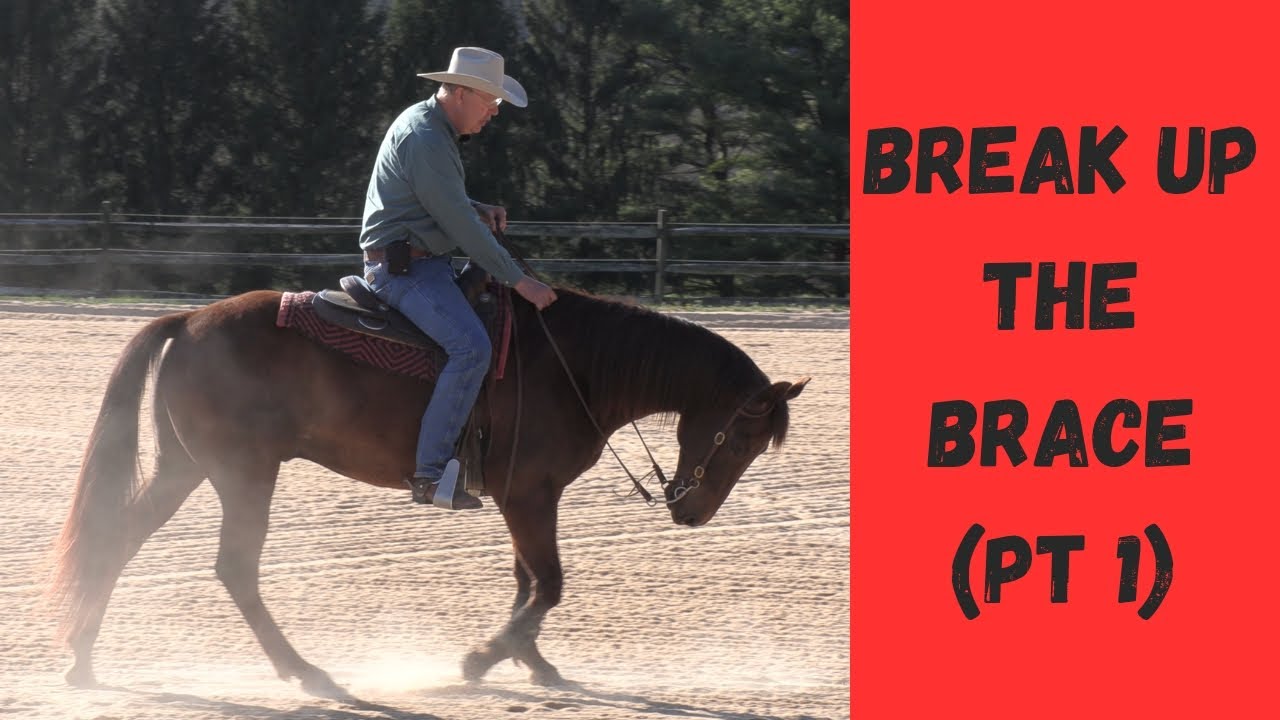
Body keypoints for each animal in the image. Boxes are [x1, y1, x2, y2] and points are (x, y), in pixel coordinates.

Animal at [49, 284, 809, 698]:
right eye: (739, 438)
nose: (692, 512)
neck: (578, 366)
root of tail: (187, 321)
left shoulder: (522, 497)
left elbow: (527, 581)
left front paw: (532, 662)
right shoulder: (529, 494)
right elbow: (549, 583)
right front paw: (482, 659)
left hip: (186, 466)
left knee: (117, 540)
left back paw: (83, 662)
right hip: (244, 472)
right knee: (235, 567)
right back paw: (306, 672)